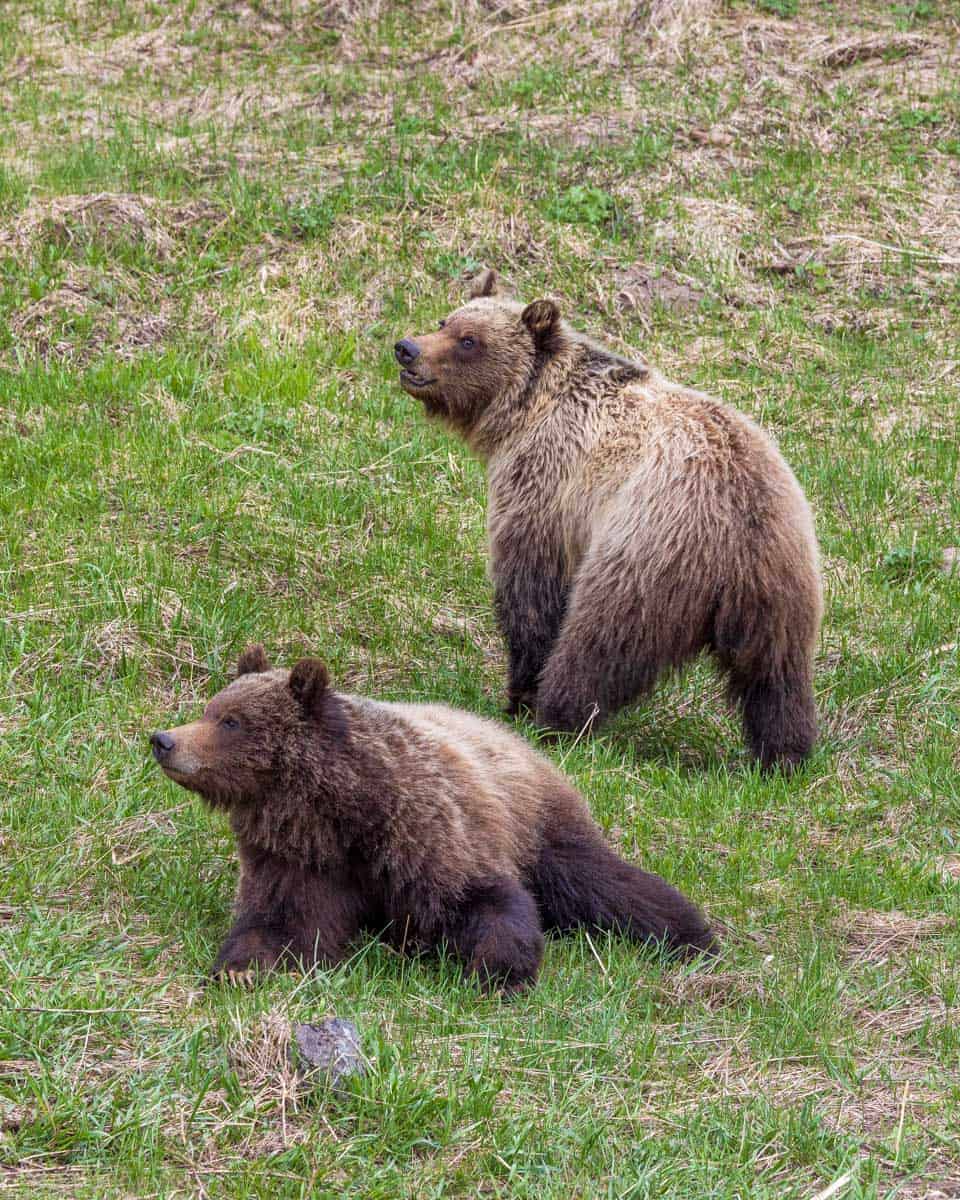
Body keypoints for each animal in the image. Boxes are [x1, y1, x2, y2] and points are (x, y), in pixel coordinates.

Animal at [150, 645, 714, 992]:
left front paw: (497, 973)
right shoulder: (300, 858)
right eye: (210, 709)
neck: (336, 813)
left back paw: (689, 934)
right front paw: (241, 969)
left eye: (230, 721)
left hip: (536, 820)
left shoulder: (423, 827)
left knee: (598, 882)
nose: (164, 739)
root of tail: (521, 741)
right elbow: (283, 922)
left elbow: (481, 898)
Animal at [394, 269, 823, 770]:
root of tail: (741, 527)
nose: (407, 348)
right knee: (776, 677)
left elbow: (530, 592)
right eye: (445, 320)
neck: (524, 410)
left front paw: (518, 693)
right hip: (783, 585)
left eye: (468, 340)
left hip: (647, 554)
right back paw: (783, 755)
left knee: (599, 643)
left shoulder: (545, 484)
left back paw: (556, 719)